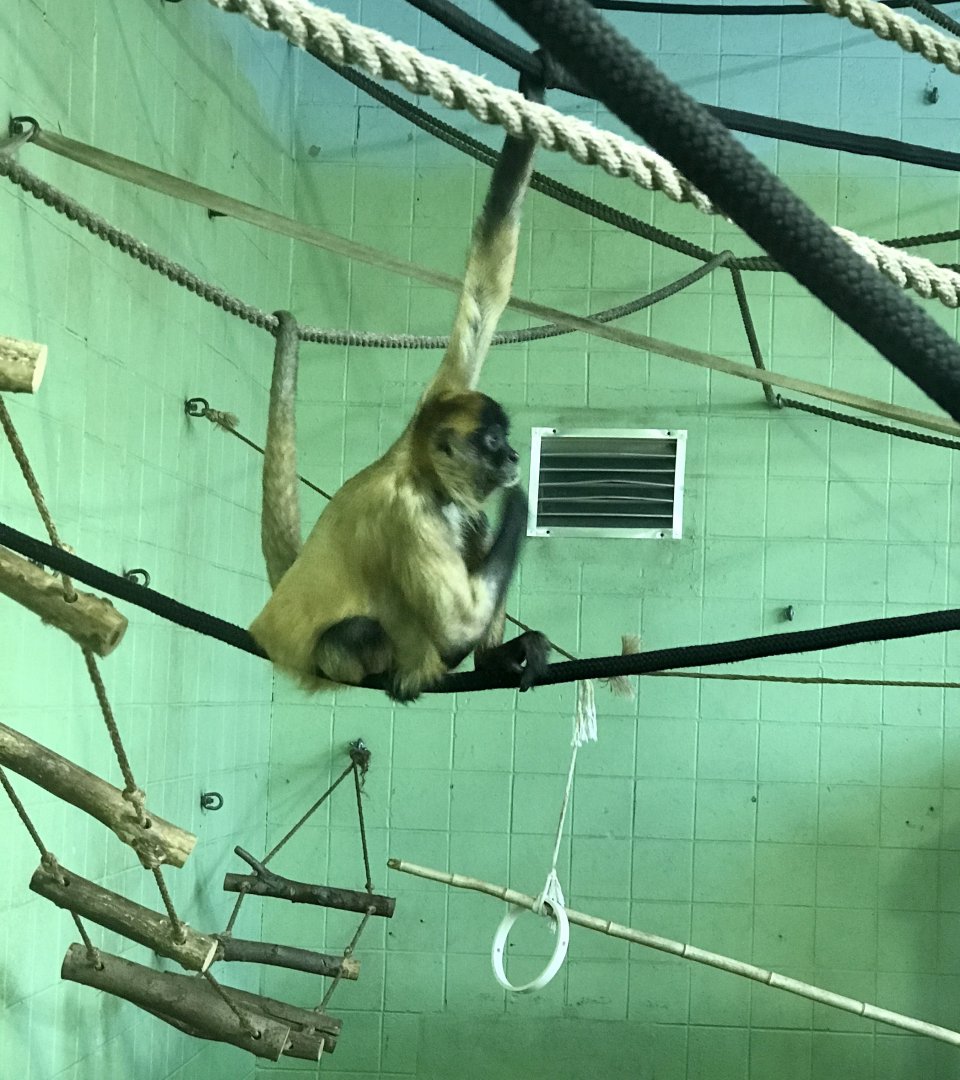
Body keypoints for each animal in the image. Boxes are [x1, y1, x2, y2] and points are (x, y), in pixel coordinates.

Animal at [249, 95, 550, 703]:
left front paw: (537, 84)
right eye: (494, 442)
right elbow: (456, 623)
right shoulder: (409, 516)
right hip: (327, 658)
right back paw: (408, 675)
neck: (421, 472)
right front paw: (519, 505)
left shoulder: (439, 396)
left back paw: (490, 661)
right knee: (356, 633)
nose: (511, 455)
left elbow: (486, 285)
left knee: (471, 527)